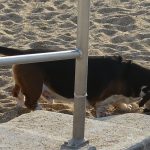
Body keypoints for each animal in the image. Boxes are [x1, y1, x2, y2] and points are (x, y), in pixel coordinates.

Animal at [0, 46, 150, 112]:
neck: (127, 74)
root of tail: (23, 53)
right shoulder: (98, 102)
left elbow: (119, 102)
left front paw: (125, 106)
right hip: (35, 86)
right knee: (30, 102)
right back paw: (39, 109)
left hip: (24, 84)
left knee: (17, 94)